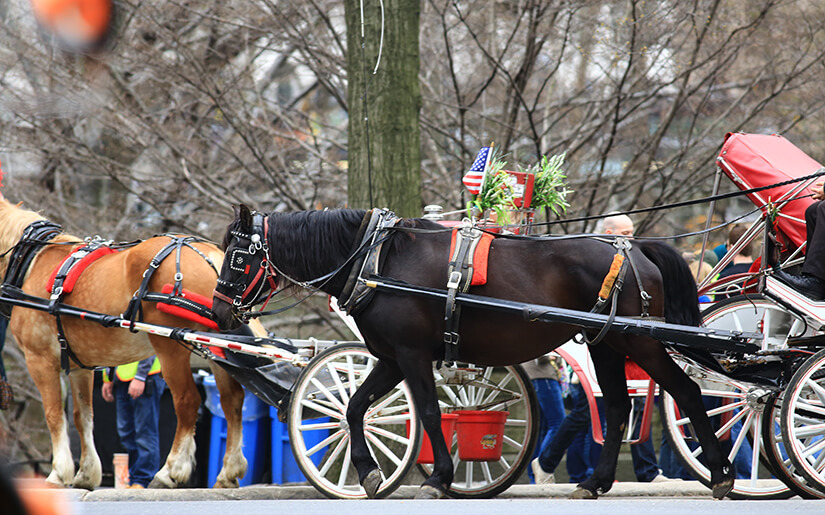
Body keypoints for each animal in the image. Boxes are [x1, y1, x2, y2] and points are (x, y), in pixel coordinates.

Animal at [0, 196, 260, 490]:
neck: (31, 261)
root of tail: (210, 257)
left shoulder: (39, 360)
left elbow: (54, 415)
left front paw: (59, 473)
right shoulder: (81, 366)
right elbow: (82, 417)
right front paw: (86, 473)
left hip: (170, 347)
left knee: (187, 400)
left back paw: (170, 470)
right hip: (216, 346)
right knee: (232, 400)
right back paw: (228, 471)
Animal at [211, 206, 732, 500]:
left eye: (237, 255)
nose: (218, 310)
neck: (378, 261)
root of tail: (635, 247)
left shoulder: (411, 354)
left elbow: (426, 411)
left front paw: (439, 478)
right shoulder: (390, 357)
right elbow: (355, 409)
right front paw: (369, 473)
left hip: (640, 340)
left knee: (687, 392)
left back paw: (723, 474)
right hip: (607, 344)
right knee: (621, 406)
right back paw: (593, 483)